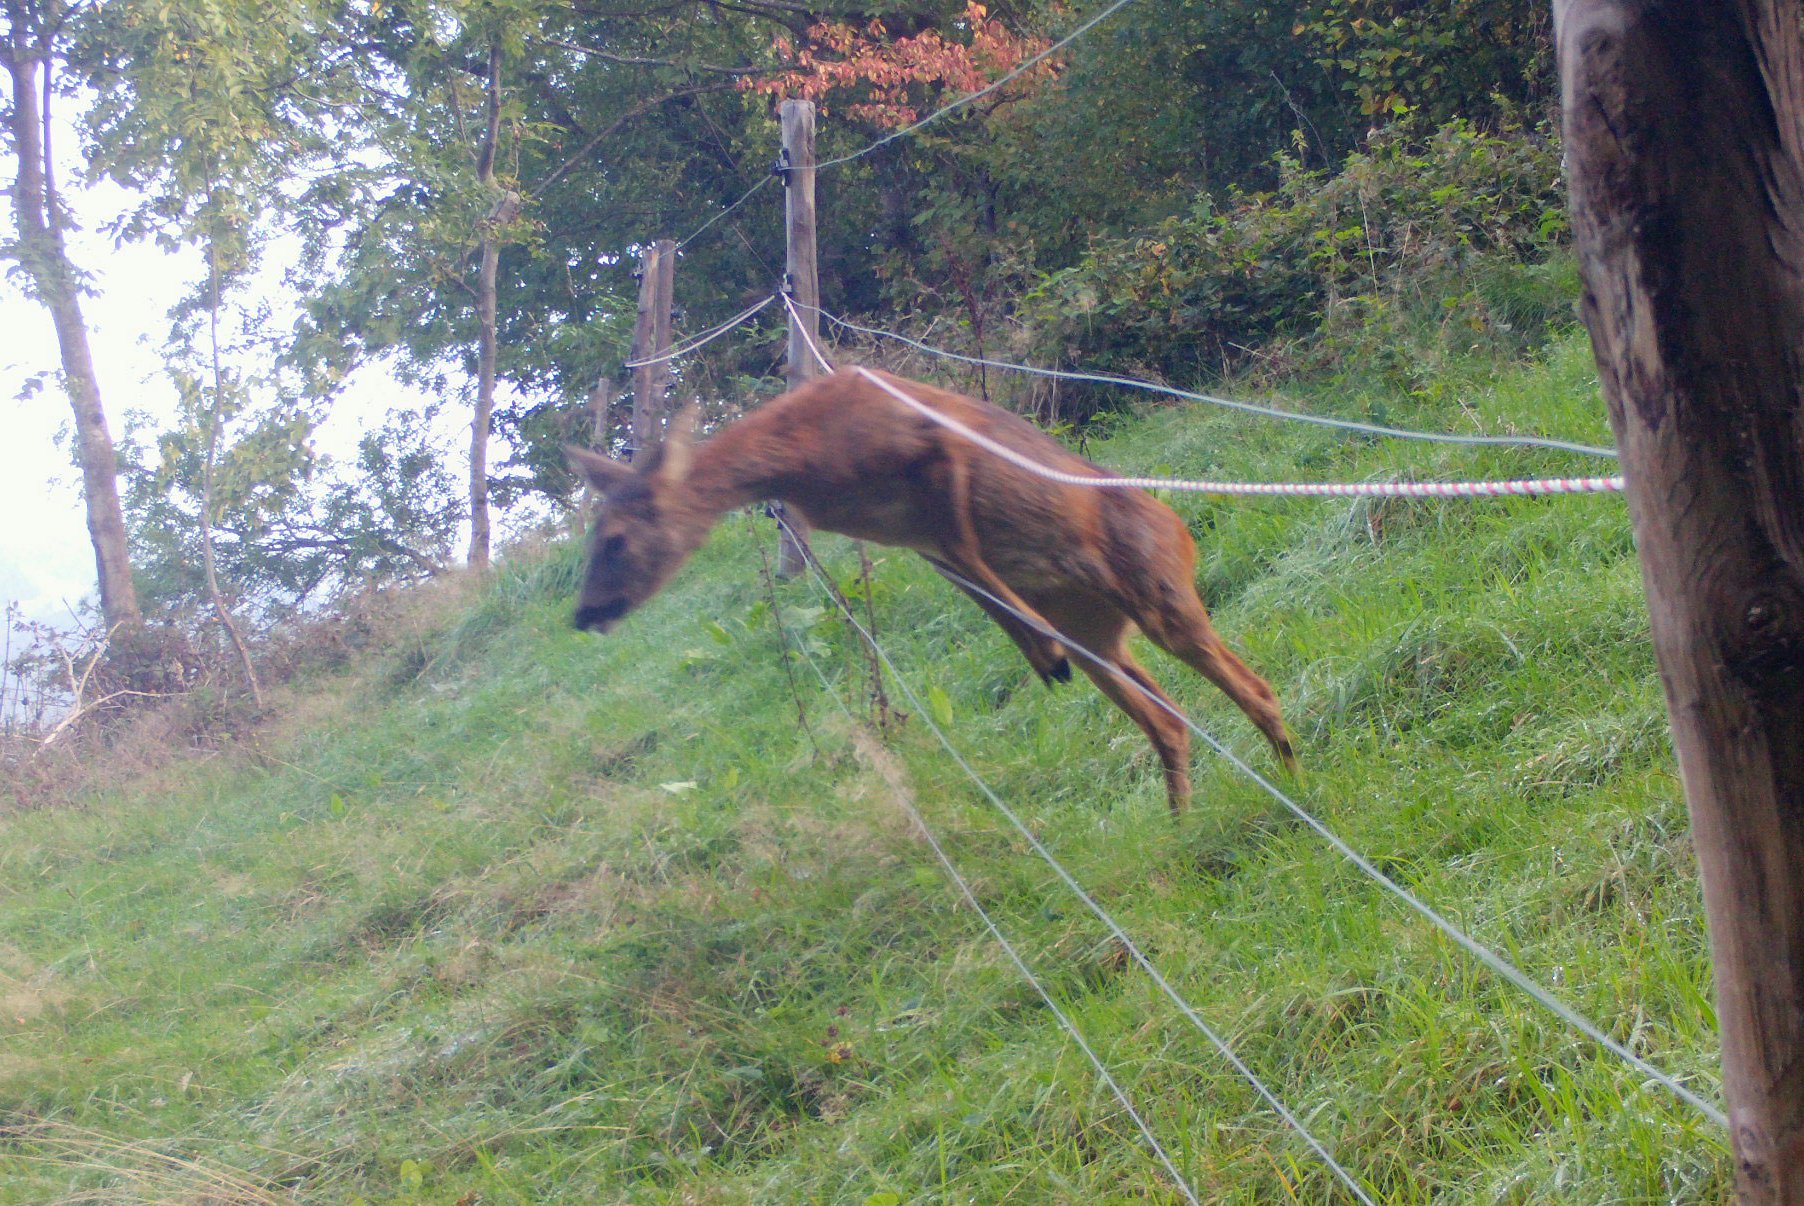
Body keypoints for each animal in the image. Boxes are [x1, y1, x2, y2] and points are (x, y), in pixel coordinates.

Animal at [567, 366, 1296, 815]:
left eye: (615, 541)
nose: (581, 614)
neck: (806, 459)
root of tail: (1182, 531)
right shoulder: (919, 541)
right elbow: (976, 586)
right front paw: (1040, 657)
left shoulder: (936, 451)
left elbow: (974, 556)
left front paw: (1041, 652)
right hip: (1101, 630)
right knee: (1170, 722)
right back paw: (1182, 821)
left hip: (1158, 587)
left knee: (1255, 688)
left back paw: (1296, 780)